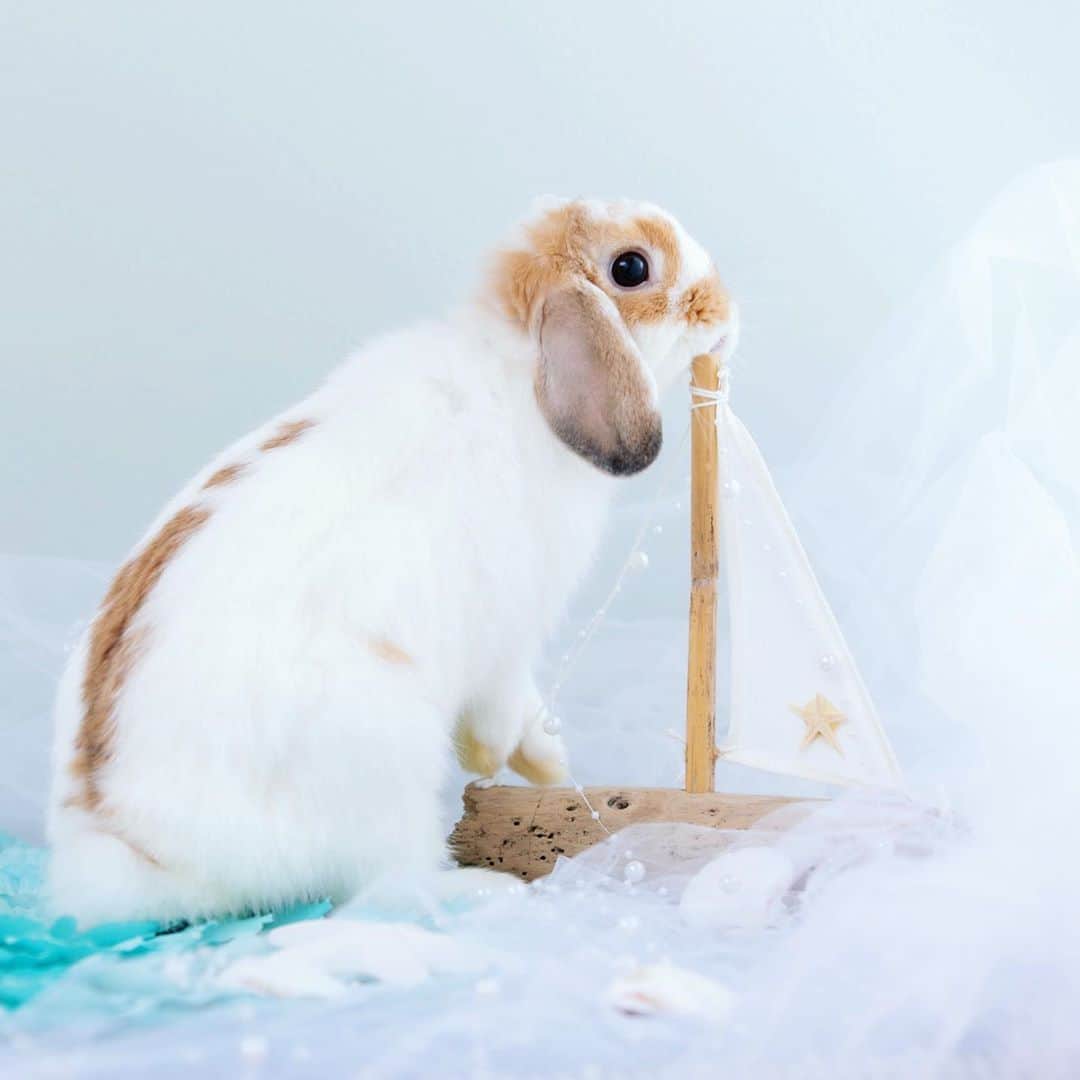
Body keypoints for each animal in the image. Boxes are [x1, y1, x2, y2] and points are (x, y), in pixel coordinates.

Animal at [47, 197, 736, 926]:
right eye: (631, 267)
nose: (724, 308)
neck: (517, 373)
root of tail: (139, 849)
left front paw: (544, 763)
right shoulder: (508, 634)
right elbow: (507, 702)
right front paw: (514, 759)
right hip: (385, 765)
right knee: (383, 884)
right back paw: (483, 889)